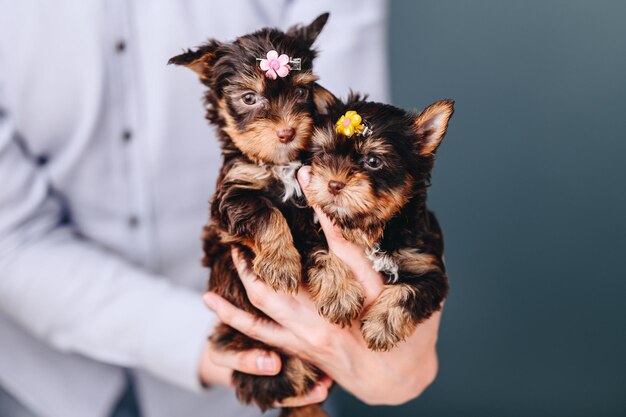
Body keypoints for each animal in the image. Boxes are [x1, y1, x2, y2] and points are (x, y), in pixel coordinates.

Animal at [166, 13, 332, 416]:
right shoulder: (233, 194)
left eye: (302, 93)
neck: (279, 163)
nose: (287, 132)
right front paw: (282, 265)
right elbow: (266, 213)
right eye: (249, 98)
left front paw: (338, 282)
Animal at [304, 95, 454, 352]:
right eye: (323, 154)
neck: (371, 228)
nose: (333, 184)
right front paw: (339, 294)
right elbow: (317, 247)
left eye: (373, 160)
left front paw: (381, 325)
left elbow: (409, 291)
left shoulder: (427, 267)